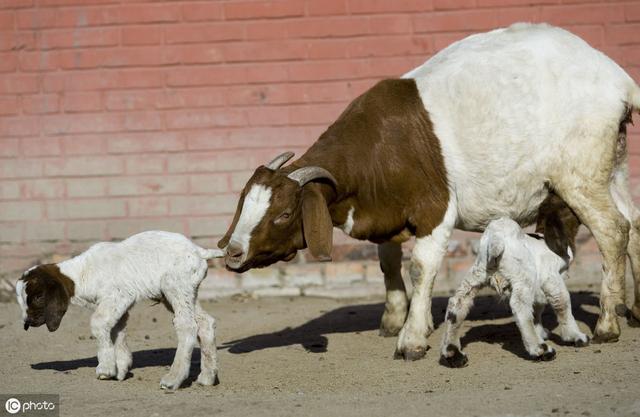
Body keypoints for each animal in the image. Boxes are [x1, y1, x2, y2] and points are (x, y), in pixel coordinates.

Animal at [219, 23, 640, 360]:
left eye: (284, 213)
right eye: (244, 204)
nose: (233, 253)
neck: (380, 149)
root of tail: (619, 82)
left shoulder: (434, 209)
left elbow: (421, 267)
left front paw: (411, 339)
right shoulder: (385, 210)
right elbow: (388, 260)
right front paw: (393, 319)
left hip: (581, 173)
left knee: (612, 230)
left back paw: (607, 325)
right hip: (613, 166)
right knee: (634, 223)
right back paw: (634, 311)